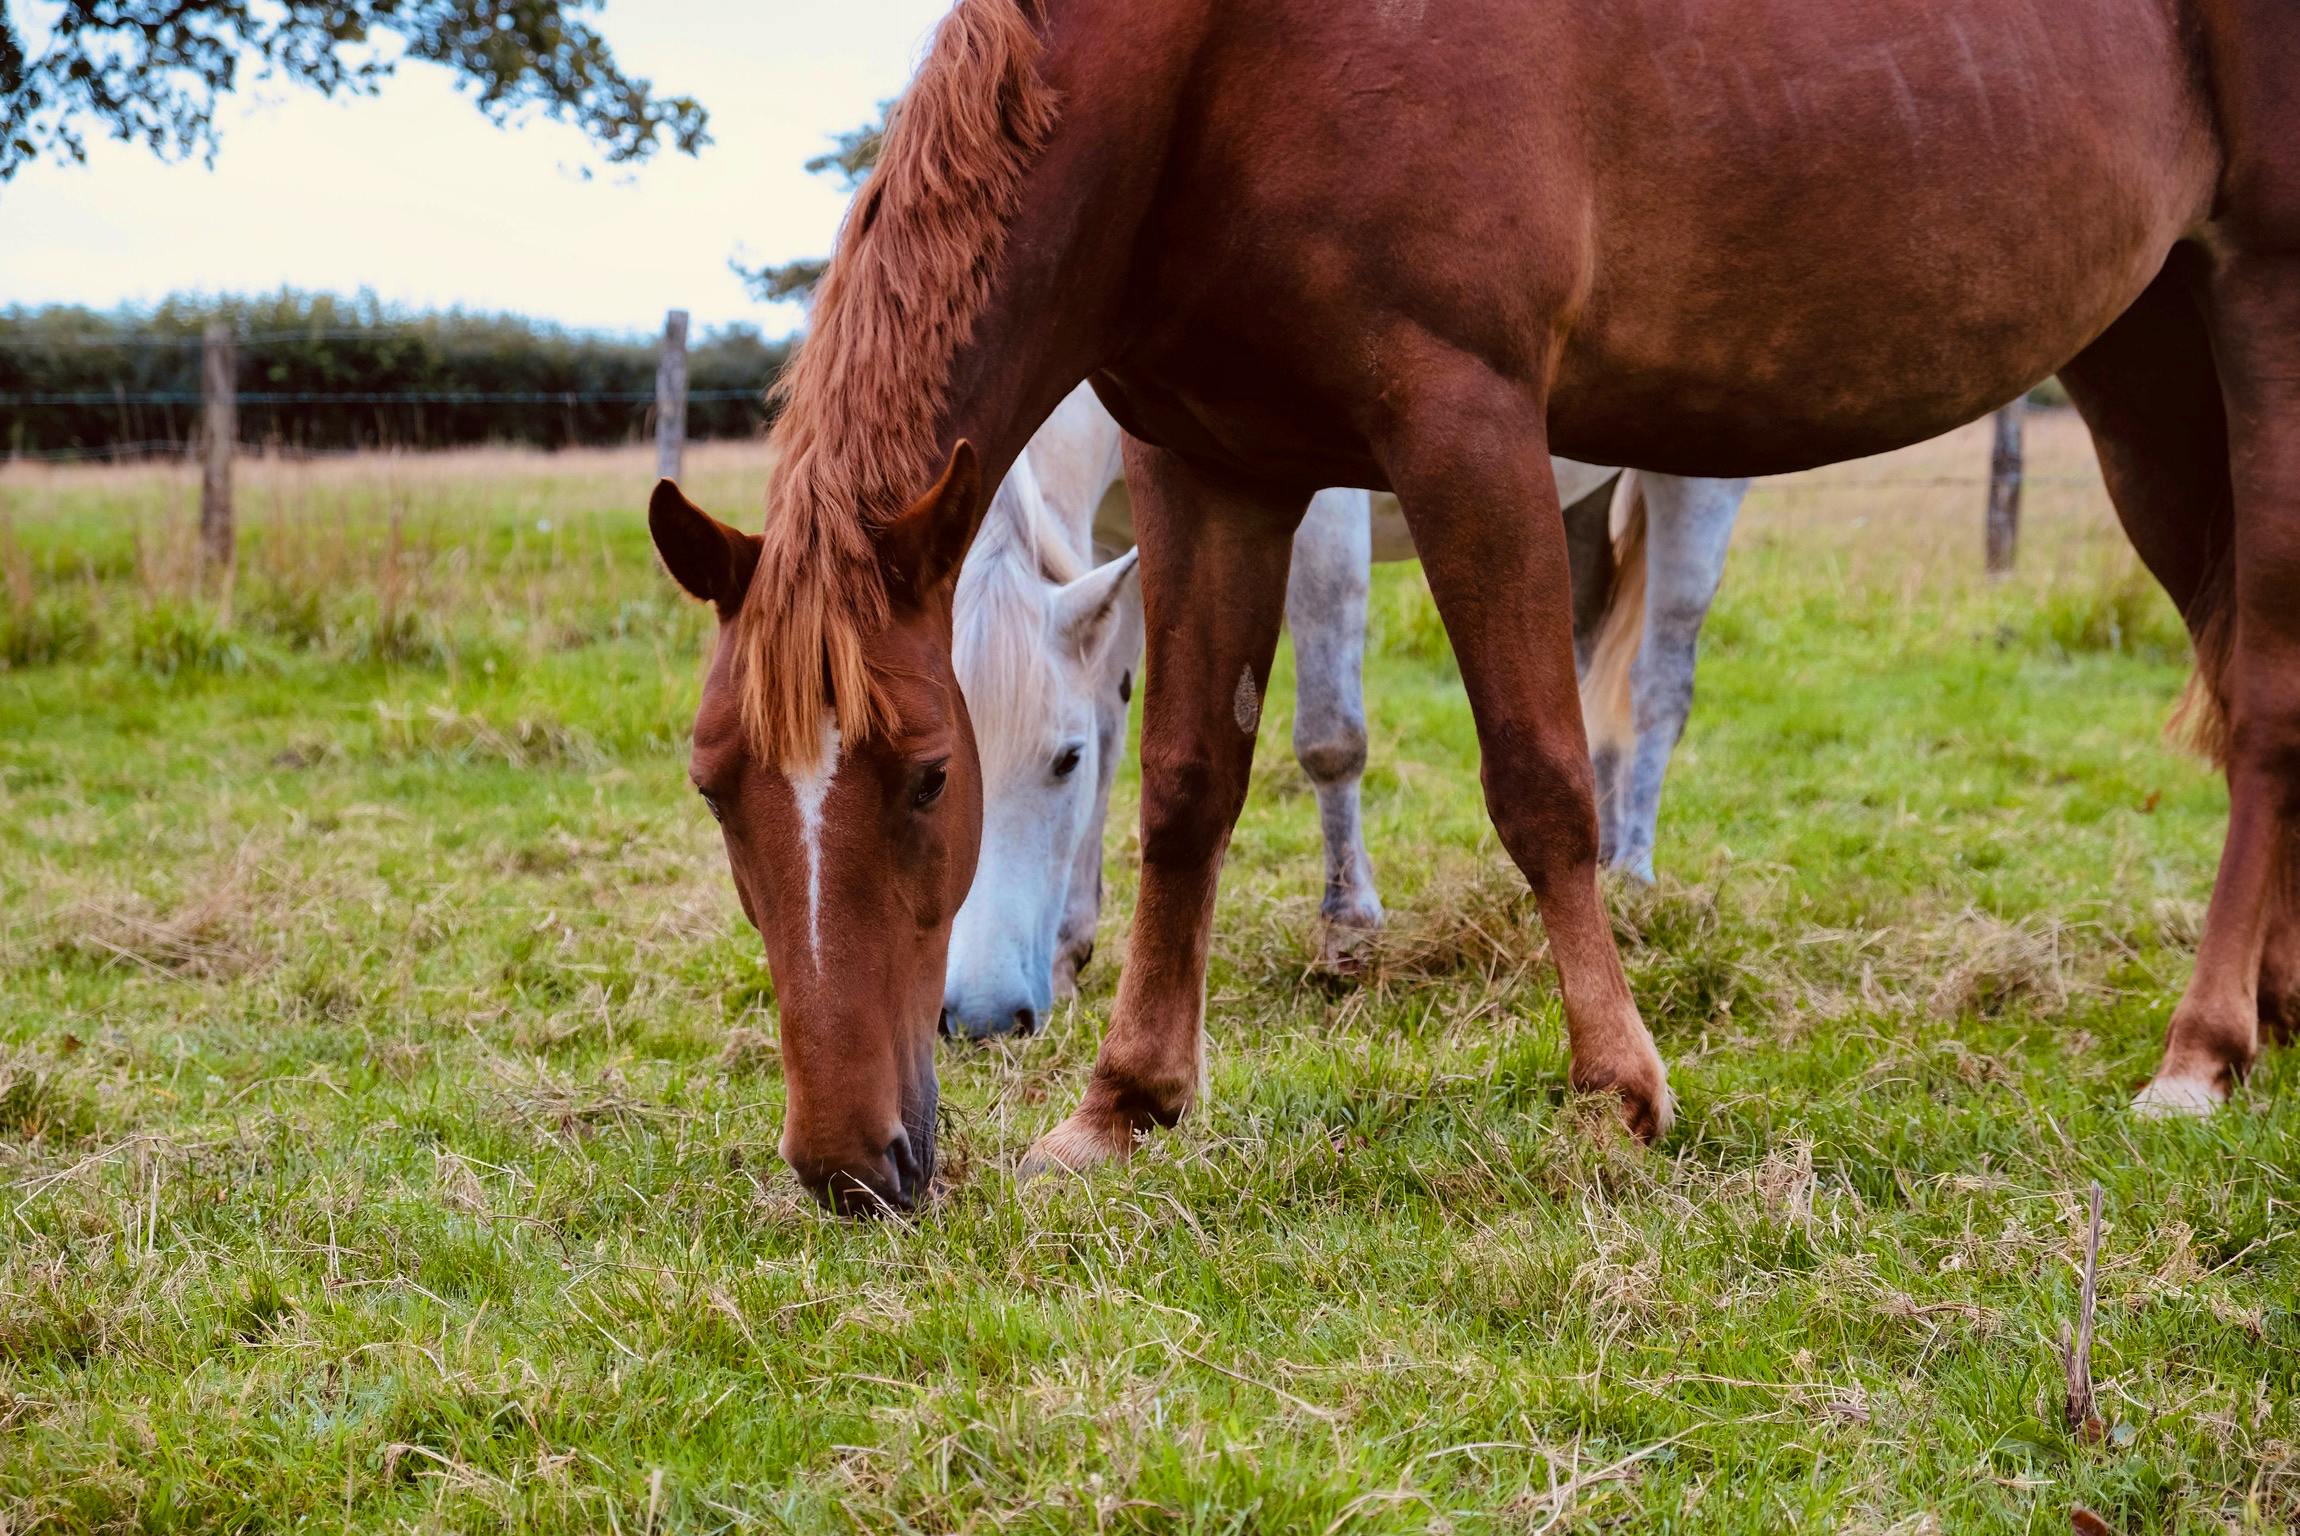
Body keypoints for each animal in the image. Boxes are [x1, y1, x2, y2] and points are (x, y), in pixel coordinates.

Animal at [938, 382, 1750, 1039]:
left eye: (1061, 760)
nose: (982, 1017)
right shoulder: (1124, 535)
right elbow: (1116, 734)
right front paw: (1071, 947)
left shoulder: (1319, 509)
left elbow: (1330, 738)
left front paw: (1349, 926)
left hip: (1697, 483)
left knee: (1658, 682)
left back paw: (1635, 877)